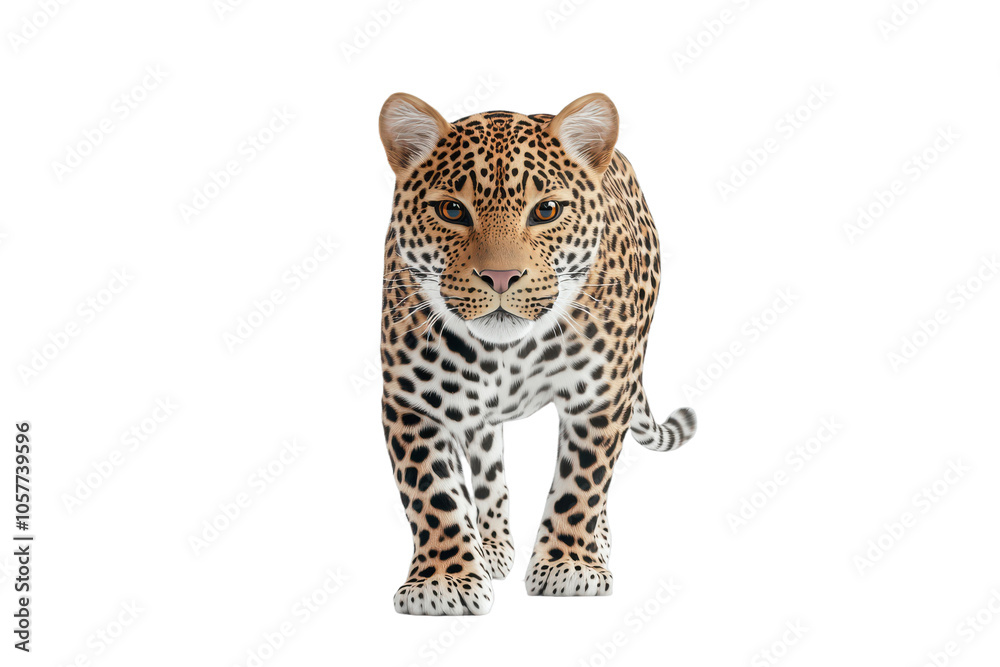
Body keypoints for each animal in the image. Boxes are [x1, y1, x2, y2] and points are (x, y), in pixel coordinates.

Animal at [378, 92, 698, 615]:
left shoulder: (602, 397)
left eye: (546, 210)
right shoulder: (413, 402)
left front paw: (569, 565)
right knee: (487, 465)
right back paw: (491, 546)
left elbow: (582, 484)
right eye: (452, 211)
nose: (500, 277)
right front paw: (445, 580)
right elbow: (433, 495)